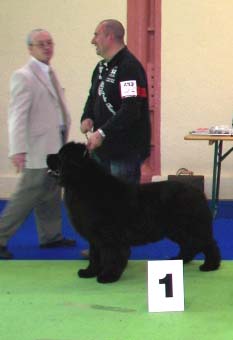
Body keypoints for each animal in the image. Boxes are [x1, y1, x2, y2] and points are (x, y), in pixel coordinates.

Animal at [46, 142, 220, 282]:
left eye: (60, 156)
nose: (47, 155)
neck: (82, 184)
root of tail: (197, 192)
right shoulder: (94, 237)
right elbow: (95, 256)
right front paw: (89, 272)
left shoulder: (109, 236)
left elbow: (111, 256)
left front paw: (108, 276)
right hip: (176, 229)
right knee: (189, 244)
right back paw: (179, 260)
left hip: (190, 226)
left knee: (207, 243)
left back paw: (210, 265)